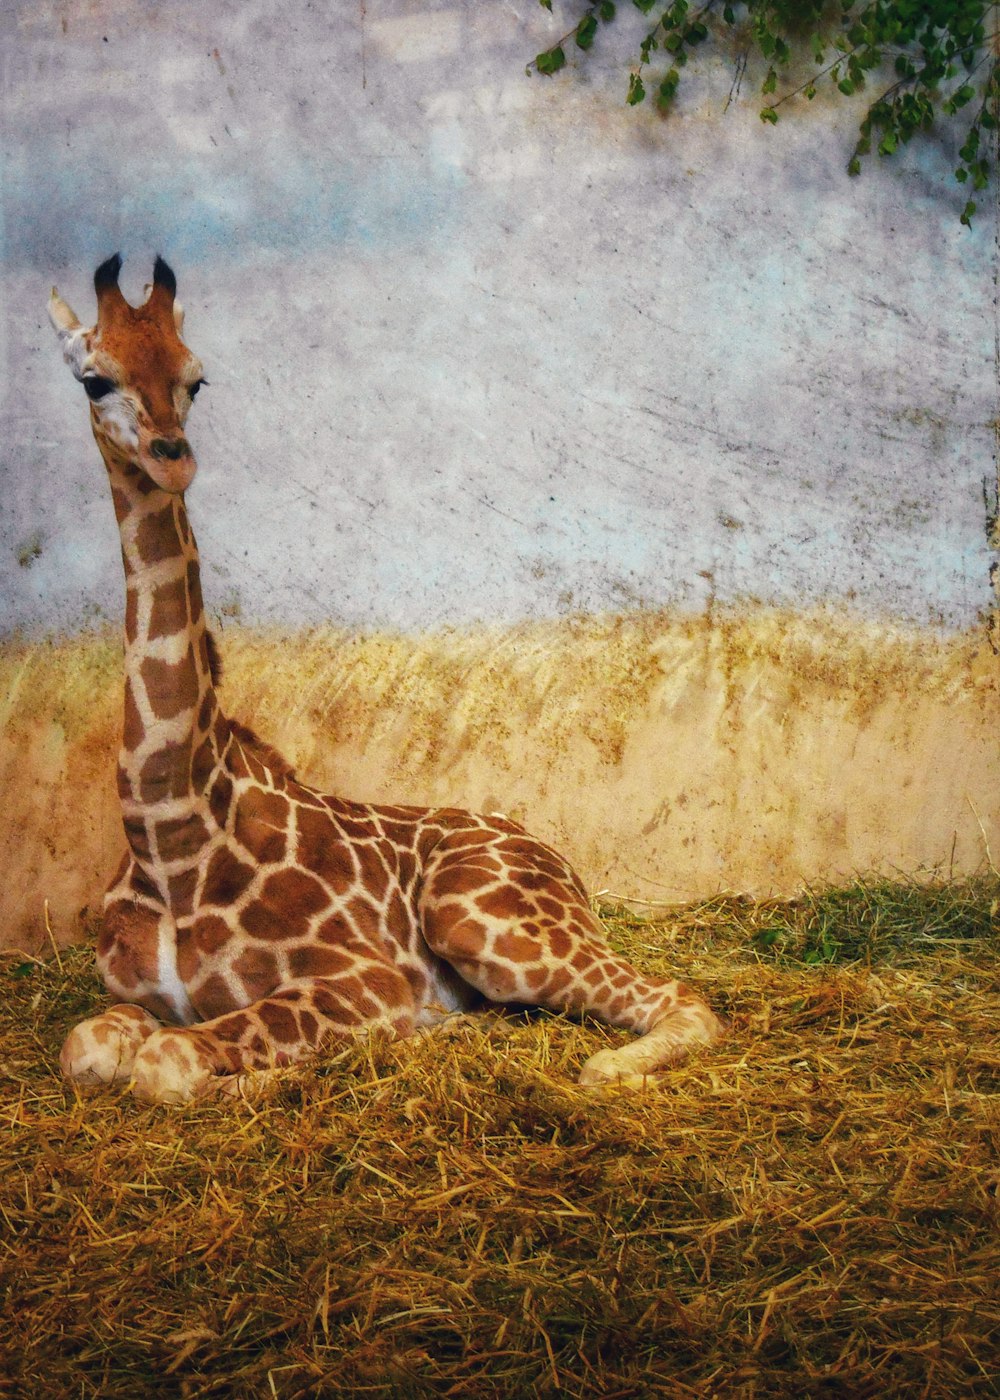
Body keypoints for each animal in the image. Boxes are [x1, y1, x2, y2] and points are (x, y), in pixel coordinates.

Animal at [46, 252, 722, 1103]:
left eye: (197, 379)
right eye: (92, 380)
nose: (174, 457)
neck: (169, 832)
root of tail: (555, 855)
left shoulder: (362, 980)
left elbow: (166, 1066)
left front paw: (270, 1077)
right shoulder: (129, 996)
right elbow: (90, 1047)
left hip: (479, 920)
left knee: (682, 996)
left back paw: (602, 1067)